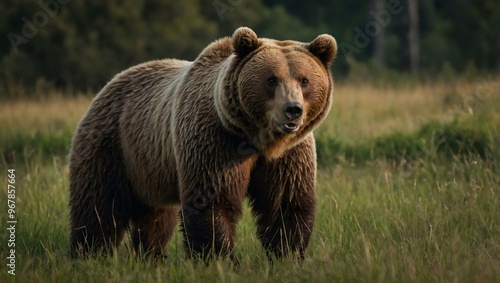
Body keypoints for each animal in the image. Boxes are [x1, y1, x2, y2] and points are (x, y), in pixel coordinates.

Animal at [69, 27, 336, 262]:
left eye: (304, 80)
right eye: (271, 79)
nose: (293, 109)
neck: (257, 138)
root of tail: (110, 83)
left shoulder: (289, 155)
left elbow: (285, 202)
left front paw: (287, 255)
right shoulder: (214, 140)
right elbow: (212, 201)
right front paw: (220, 259)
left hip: (151, 167)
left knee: (156, 216)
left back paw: (151, 256)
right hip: (112, 145)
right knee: (99, 206)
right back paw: (89, 255)